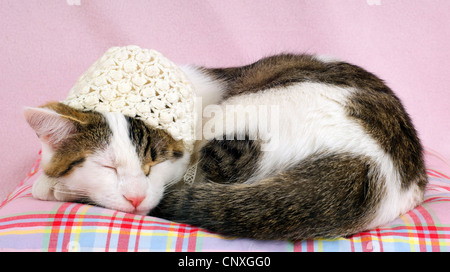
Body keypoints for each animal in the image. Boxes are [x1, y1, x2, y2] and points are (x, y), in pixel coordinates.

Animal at [25, 53, 428, 240]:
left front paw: (52, 186)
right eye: (106, 166)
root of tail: (377, 163)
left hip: (245, 117)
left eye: (153, 164)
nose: (137, 197)